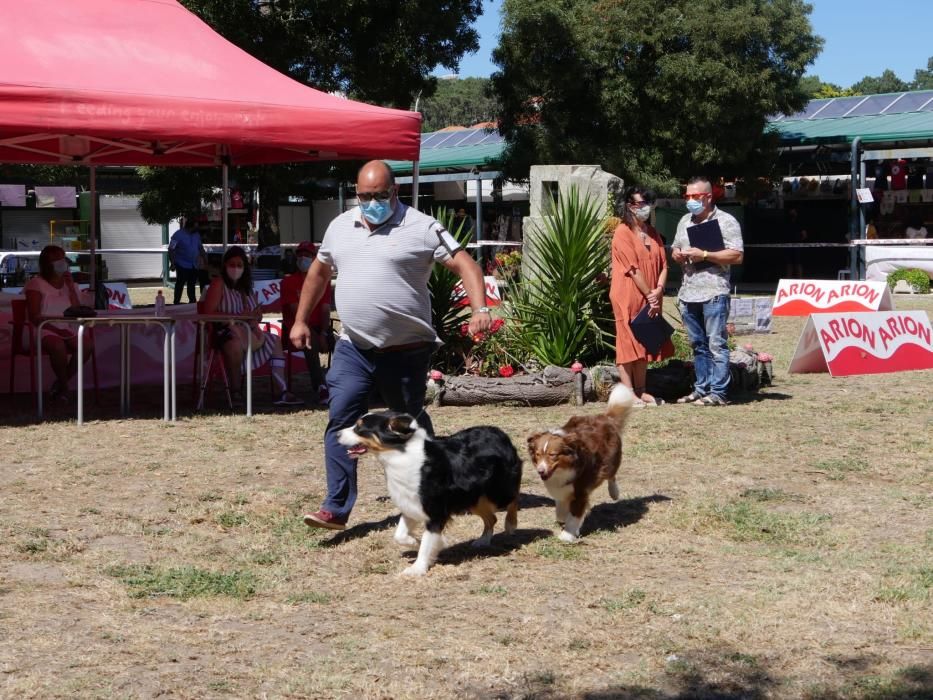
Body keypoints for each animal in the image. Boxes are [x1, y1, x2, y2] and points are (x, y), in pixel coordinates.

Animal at [336, 410, 524, 576]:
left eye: (360, 427)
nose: (336, 434)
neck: (398, 454)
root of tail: (499, 432)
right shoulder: (411, 504)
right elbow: (399, 535)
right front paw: (414, 542)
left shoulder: (435, 511)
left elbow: (427, 543)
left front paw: (417, 568)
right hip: (472, 498)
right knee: (491, 518)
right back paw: (483, 540)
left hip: (497, 490)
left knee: (513, 498)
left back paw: (510, 524)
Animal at [528, 382, 636, 540]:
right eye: (537, 455)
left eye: (553, 455)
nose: (540, 471)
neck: (562, 469)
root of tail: (605, 418)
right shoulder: (561, 488)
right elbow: (561, 509)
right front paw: (564, 518)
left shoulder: (581, 490)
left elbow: (574, 514)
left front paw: (567, 535)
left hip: (610, 461)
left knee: (611, 475)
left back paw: (614, 492)